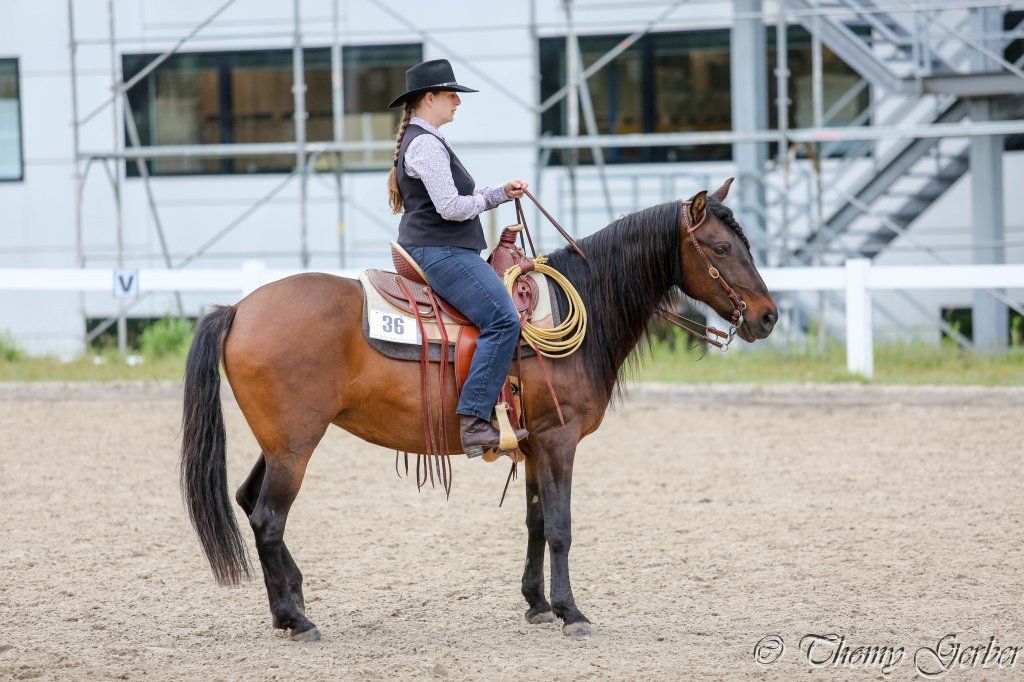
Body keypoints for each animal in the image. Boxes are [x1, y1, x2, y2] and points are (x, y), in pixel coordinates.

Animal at [179, 178, 777, 641]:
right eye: (720, 249)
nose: (768, 316)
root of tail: (238, 308)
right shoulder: (559, 440)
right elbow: (560, 526)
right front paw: (573, 613)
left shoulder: (535, 444)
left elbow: (535, 521)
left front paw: (538, 604)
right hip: (296, 445)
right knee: (268, 517)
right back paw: (296, 620)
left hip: (282, 442)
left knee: (248, 502)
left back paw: (292, 604)